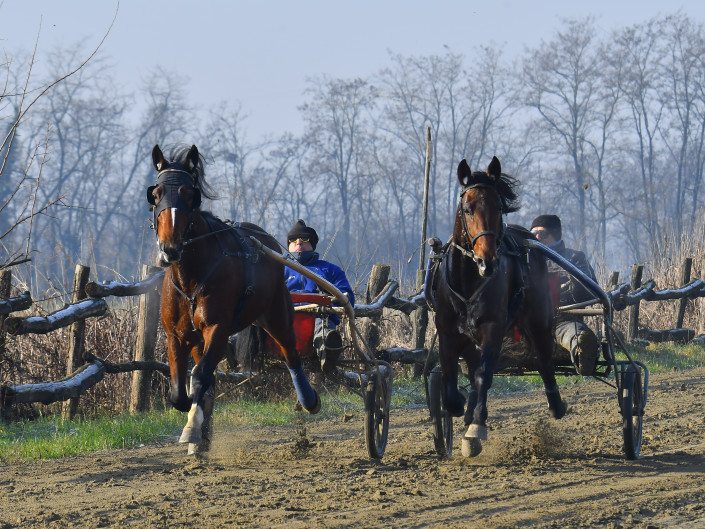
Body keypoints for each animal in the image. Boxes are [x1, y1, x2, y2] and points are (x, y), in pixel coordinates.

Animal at [148, 142, 320, 452]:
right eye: (156, 194)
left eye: (190, 194)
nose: (170, 248)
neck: (192, 276)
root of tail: (265, 239)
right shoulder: (175, 335)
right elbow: (181, 392)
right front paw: (198, 425)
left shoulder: (218, 328)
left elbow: (200, 376)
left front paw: (192, 428)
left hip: (277, 315)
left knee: (291, 354)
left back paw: (309, 399)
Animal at [432, 156, 564, 454]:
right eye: (467, 209)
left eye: (498, 207)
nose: (487, 261)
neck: (468, 279)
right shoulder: (447, 331)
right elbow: (450, 382)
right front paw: (460, 406)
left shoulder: (493, 326)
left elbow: (484, 375)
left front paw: (476, 428)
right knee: (470, 364)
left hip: (538, 317)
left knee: (544, 358)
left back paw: (556, 404)